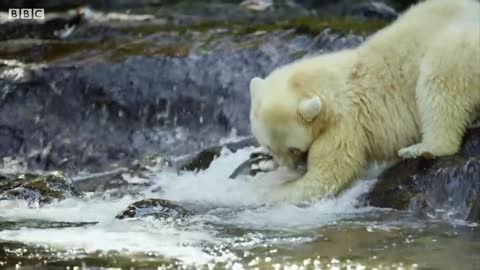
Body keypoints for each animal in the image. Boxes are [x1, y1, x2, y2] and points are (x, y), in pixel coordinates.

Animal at [251, 0, 480, 202]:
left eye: (294, 148)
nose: (289, 167)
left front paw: (268, 192)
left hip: (462, 49)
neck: (318, 82)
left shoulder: (344, 122)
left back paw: (421, 148)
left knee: (439, 77)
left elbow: (327, 175)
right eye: (269, 147)